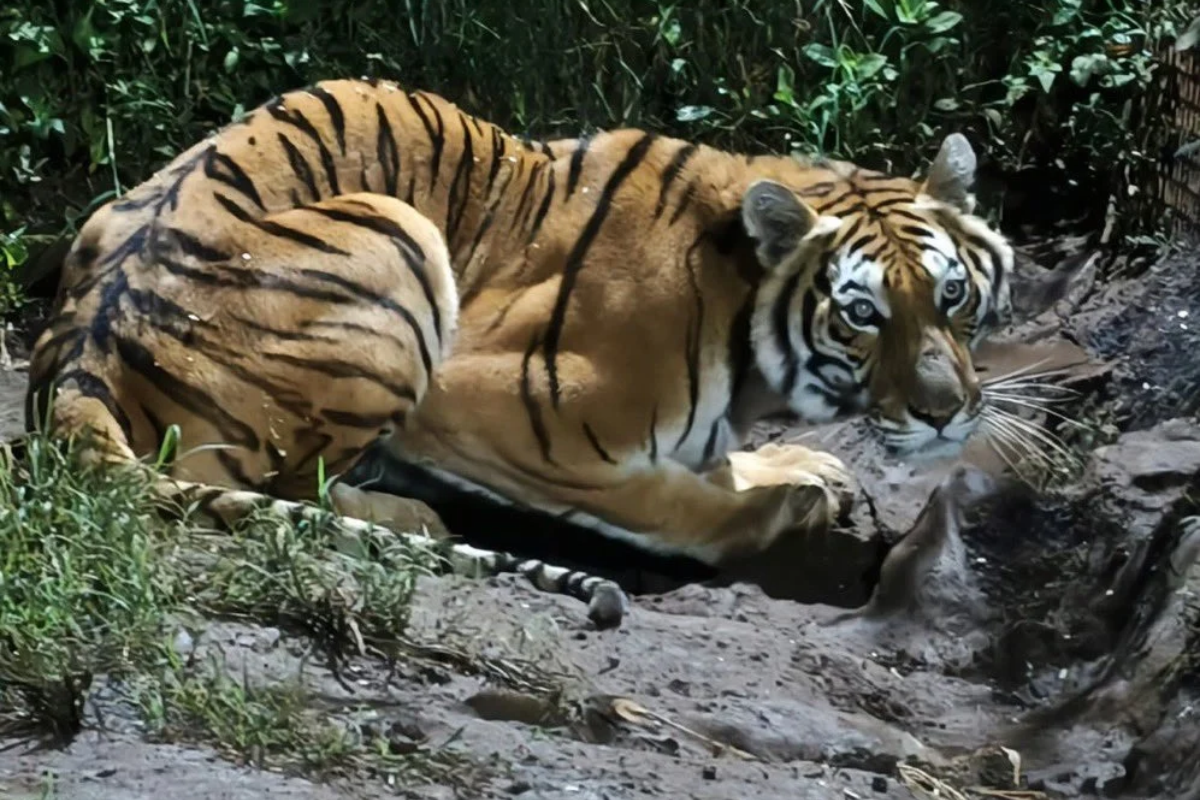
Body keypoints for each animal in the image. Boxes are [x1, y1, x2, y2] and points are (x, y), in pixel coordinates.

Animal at [26, 76, 1025, 629]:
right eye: (861, 313)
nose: (946, 414)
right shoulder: (499, 404)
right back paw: (410, 514)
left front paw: (802, 464)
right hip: (397, 233)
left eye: (952, 296)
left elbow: (717, 461)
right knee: (279, 482)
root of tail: (77, 366)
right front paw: (785, 501)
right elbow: (672, 504)